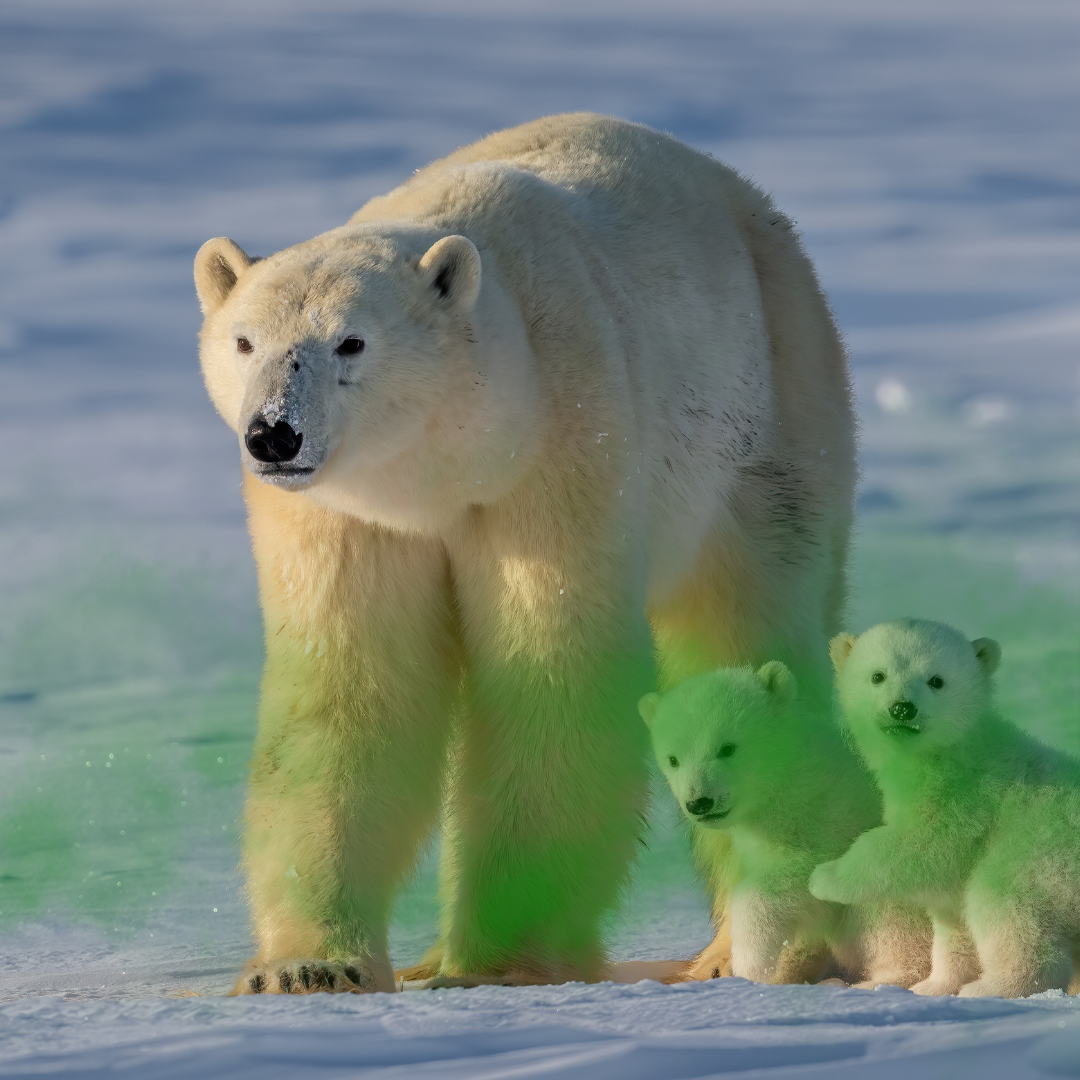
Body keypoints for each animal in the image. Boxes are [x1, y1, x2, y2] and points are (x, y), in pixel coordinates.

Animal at [192, 113, 857, 994]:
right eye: (243, 340)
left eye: (351, 342)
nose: (274, 433)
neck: (449, 468)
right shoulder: (347, 519)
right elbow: (349, 693)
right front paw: (308, 967)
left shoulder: (561, 448)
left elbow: (549, 679)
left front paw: (498, 965)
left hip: (770, 415)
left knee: (748, 628)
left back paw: (750, 952)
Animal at [640, 662, 931, 987]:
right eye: (673, 759)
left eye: (727, 748)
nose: (699, 802)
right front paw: (786, 969)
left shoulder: (830, 816)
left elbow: (805, 881)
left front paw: (752, 964)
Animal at [810, 618, 1080, 998]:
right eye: (878, 675)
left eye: (936, 680)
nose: (902, 708)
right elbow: (952, 921)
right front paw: (933, 986)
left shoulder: (965, 797)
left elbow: (921, 844)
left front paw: (824, 877)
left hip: (1042, 853)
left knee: (1002, 902)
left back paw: (992, 987)